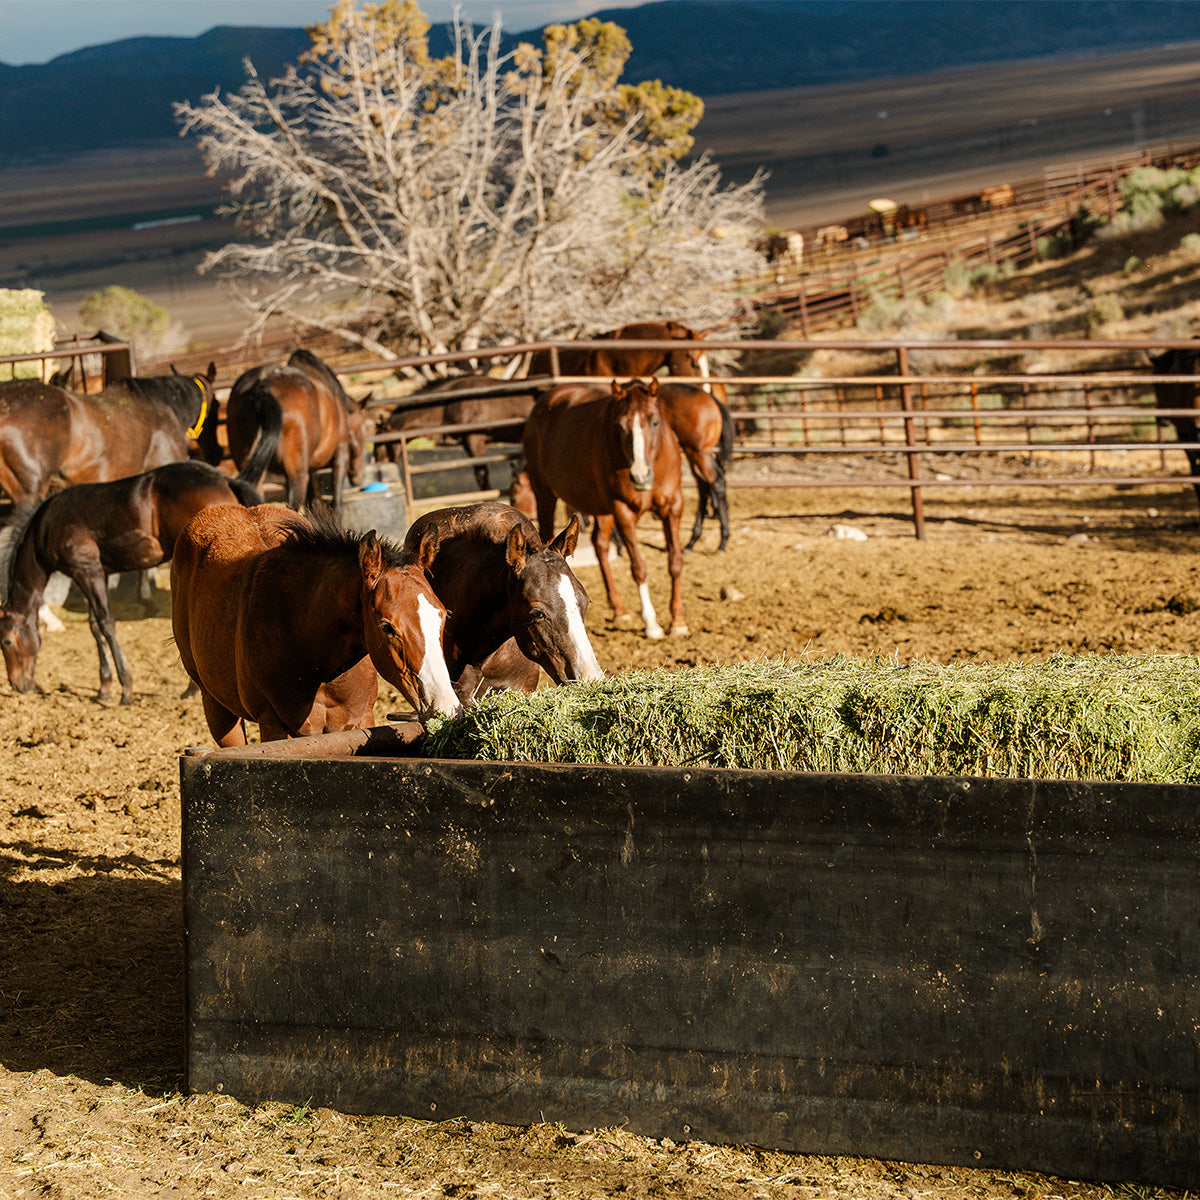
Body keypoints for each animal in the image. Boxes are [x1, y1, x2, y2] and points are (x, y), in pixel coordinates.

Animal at [0, 460, 260, 706]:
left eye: (6, 641)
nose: (17, 685)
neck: (48, 524)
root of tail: (225, 480)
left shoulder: (86, 571)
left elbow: (106, 624)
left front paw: (126, 689)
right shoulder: (98, 573)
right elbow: (95, 626)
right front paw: (104, 688)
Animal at [171, 503, 461, 745]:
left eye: (444, 615)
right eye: (386, 626)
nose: (445, 707)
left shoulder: (359, 720)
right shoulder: (272, 725)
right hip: (217, 708)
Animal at [225, 348, 372, 515]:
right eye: (365, 428)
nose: (360, 477)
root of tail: (262, 385)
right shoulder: (341, 456)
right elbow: (337, 504)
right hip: (297, 475)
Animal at [378, 376, 536, 490]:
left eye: (381, 444)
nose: (380, 465)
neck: (448, 405)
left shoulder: (475, 440)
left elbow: (482, 475)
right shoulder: (466, 442)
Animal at [522, 377, 687, 639]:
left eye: (654, 421)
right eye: (619, 427)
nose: (640, 476)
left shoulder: (673, 508)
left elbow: (676, 562)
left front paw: (678, 621)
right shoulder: (623, 512)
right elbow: (639, 568)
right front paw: (651, 624)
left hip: (602, 509)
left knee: (600, 546)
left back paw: (619, 609)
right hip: (545, 493)